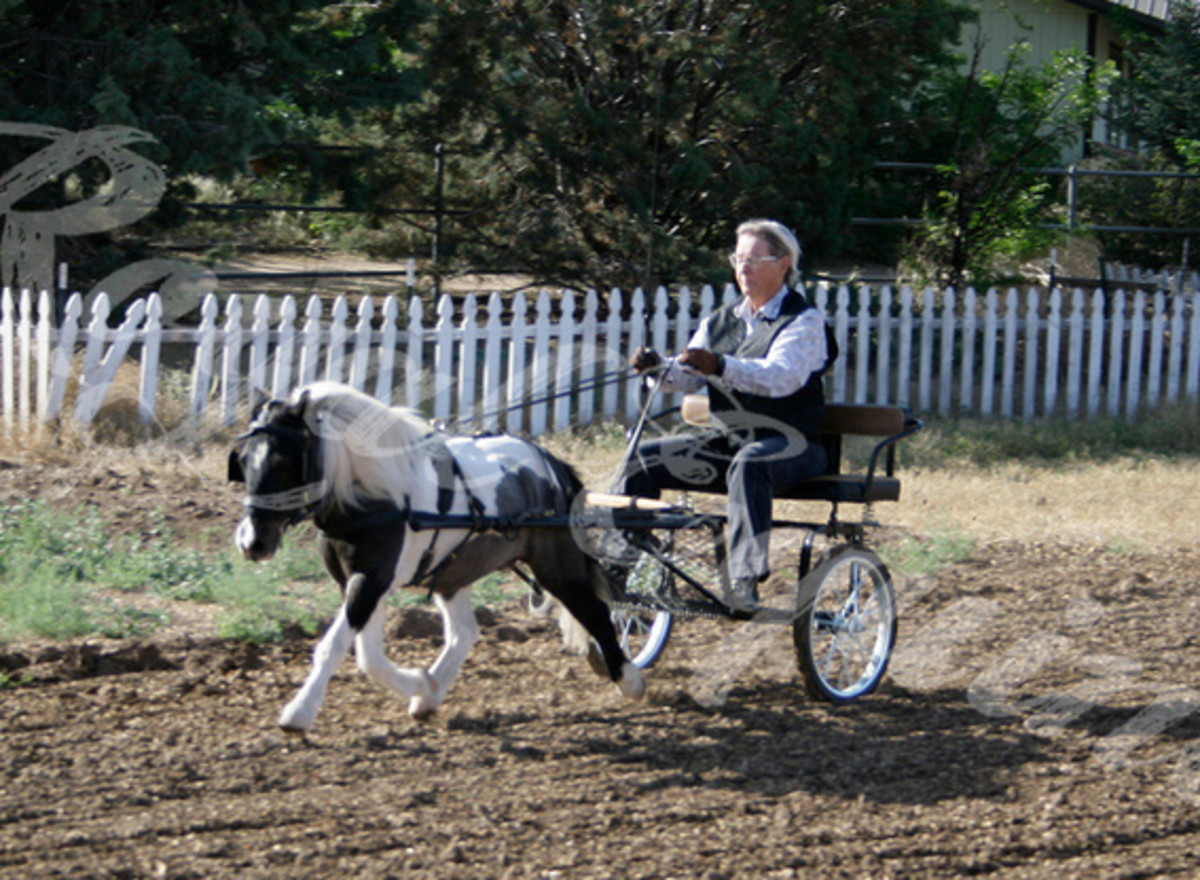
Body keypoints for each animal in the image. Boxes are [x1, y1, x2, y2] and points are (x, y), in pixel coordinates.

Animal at [227, 381, 645, 732]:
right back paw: (429, 696)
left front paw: (298, 712)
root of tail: (548, 462)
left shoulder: (371, 580)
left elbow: (334, 647)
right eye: (244, 461)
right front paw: (419, 682)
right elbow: (367, 654)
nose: (252, 542)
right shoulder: (362, 583)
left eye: (284, 461)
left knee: (595, 613)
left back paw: (629, 679)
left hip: (556, 567)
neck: (372, 495)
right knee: (464, 632)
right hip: (456, 571)